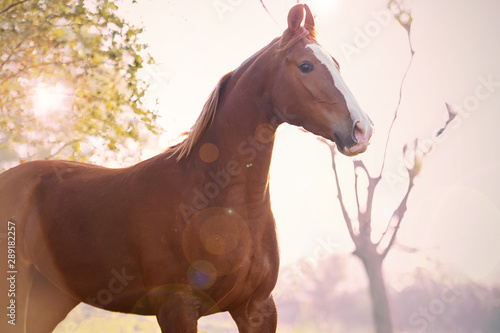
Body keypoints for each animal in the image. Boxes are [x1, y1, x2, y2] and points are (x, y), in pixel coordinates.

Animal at [0, 5, 372, 332]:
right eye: (306, 66)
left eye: (336, 64)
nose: (362, 130)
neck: (218, 201)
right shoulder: (177, 307)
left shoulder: (257, 308)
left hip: (51, 296)